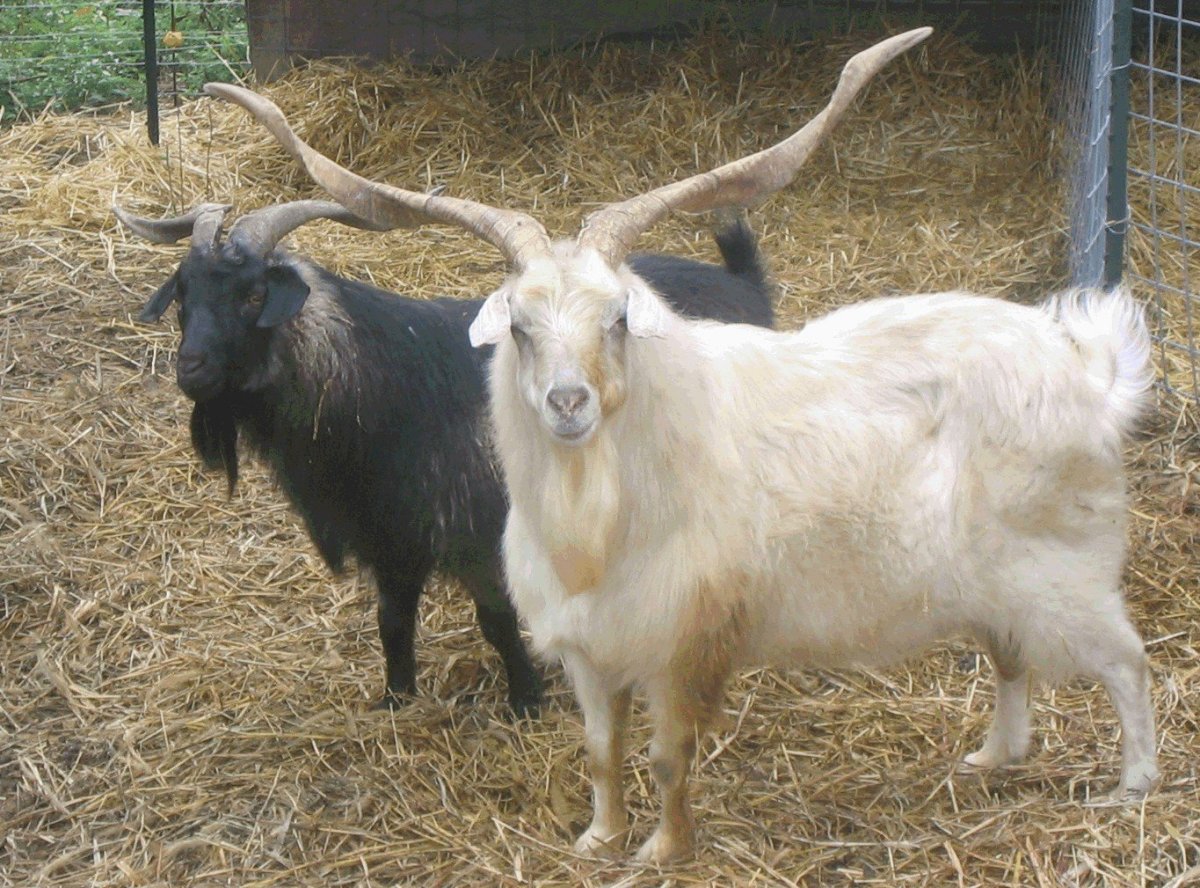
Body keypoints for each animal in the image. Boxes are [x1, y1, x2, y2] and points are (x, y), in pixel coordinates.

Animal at [115, 198, 775, 717]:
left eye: (253, 293)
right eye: (182, 292)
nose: (191, 369)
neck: (380, 383)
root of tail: (743, 283)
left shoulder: (477, 534)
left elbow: (497, 622)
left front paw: (525, 701)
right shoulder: (389, 539)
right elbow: (391, 622)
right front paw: (396, 698)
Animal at [206, 26, 1159, 863]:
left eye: (619, 319)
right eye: (518, 327)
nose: (568, 403)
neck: (603, 524)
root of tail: (1087, 369)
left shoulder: (686, 644)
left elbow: (668, 761)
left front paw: (664, 850)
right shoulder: (589, 650)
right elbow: (600, 754)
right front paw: (597, 840)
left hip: (1066, 565)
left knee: (1127, 662)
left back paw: (1133, 787)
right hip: (993, 582)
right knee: (1011, 657)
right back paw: (994, 756)